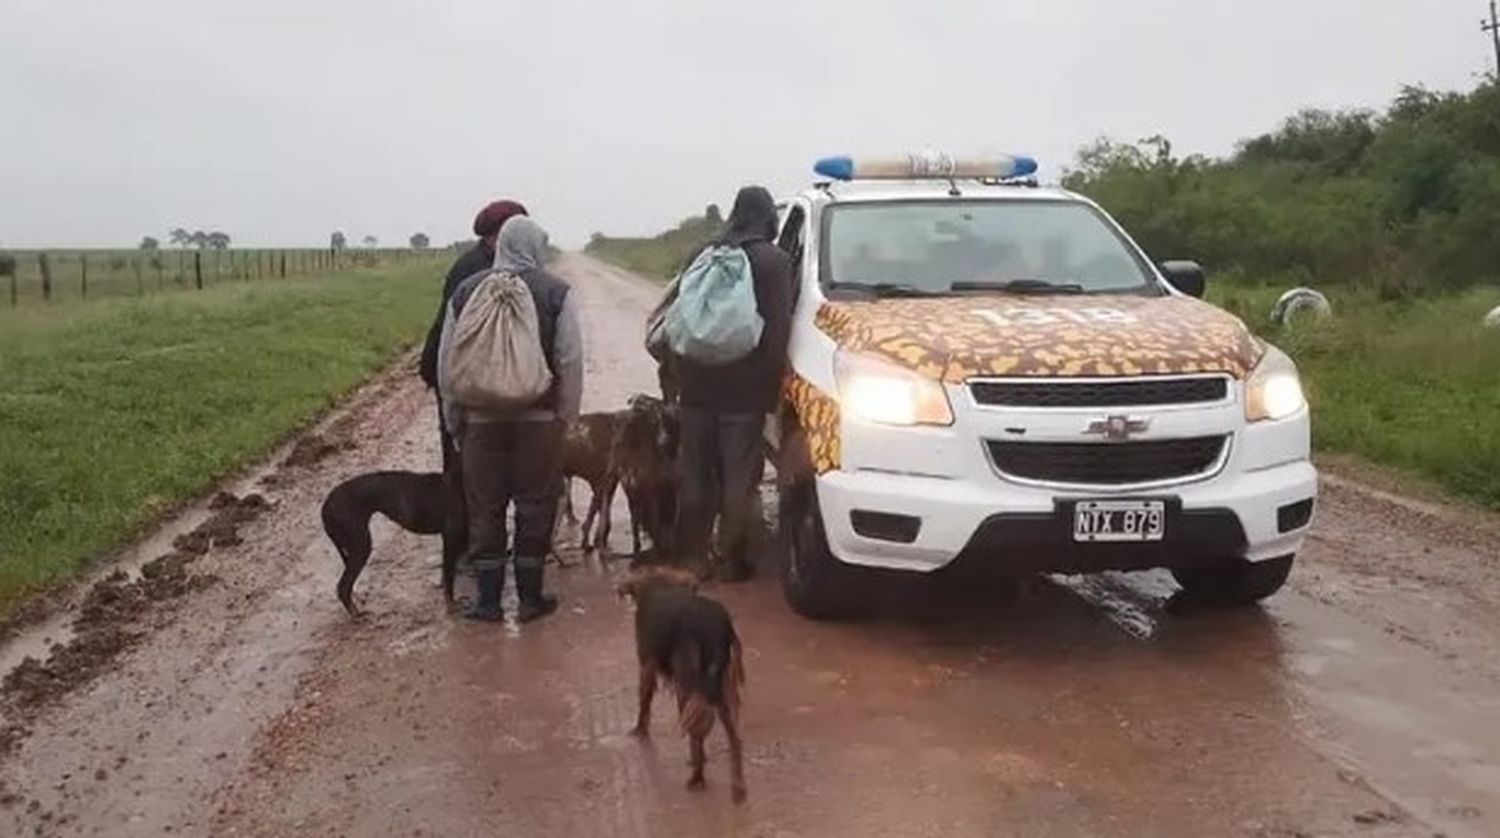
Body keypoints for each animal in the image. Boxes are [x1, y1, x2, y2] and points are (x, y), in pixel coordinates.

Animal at [324, 467, 465, 620]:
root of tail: (325, 506)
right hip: (361, 545)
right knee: (343, 587)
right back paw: (357, 615)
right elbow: (449, 576)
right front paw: (451, 606)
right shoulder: (451, 538)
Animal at [615, 566, 744, 803]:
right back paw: (737, 786)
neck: (658, 583)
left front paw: (640, 729)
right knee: (733, 738)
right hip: (719, 686)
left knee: (698, 728)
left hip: (690, 680)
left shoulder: (647, 664)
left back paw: (697, 776)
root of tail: (714, 625)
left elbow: (644, 700)